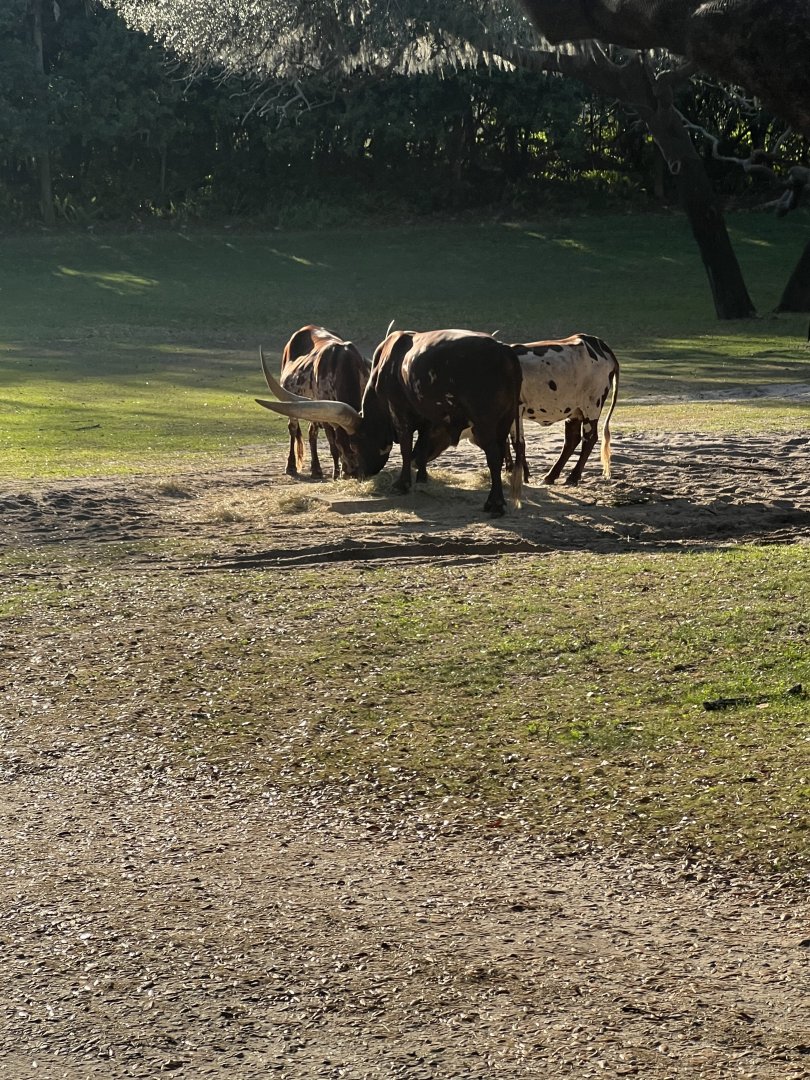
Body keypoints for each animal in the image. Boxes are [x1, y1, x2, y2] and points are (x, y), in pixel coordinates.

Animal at [263, 325, 371, 480]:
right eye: (343, 443)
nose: (352, 472)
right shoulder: (327, 416)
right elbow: (333, 445)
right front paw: (336, 472)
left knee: (312, 433)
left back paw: (316, 469)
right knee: (293, 430)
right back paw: (291, 466)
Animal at [509, 333, 620, 486]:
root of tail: (596, 342)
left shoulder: (516, 409)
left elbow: (518, 443)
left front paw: (523, 475)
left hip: (592, 406)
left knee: (589, 438)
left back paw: (573, 476)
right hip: (574, 410)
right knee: (572, 440)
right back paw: (551, 476)